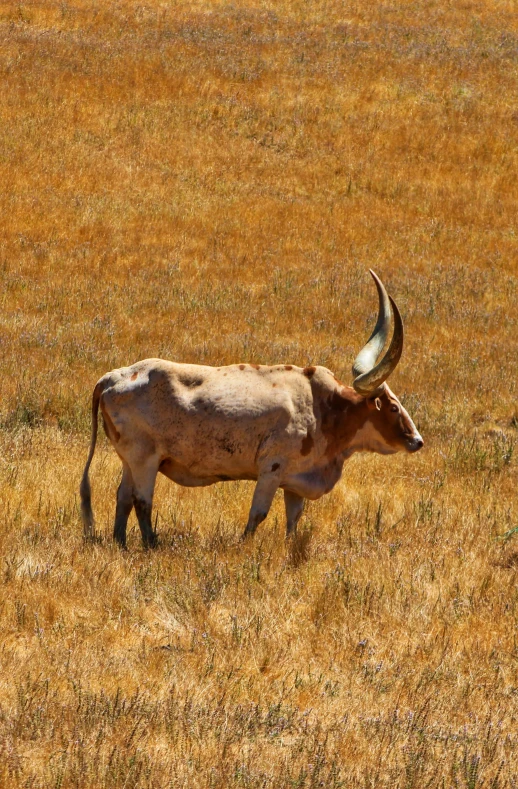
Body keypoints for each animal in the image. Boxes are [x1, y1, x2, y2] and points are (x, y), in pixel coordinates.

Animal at [80, 270, 422, 548]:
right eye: (393, 407)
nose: (417, 440)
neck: (322, 408)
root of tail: (112, 377)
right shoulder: (271, 469)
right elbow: (257, 515)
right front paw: (243, 547)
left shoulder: (296, 481)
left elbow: (293, 521)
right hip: (145, 460)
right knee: (142, 501)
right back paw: (152, 544)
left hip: (130, 461)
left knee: (123, 498)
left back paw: (121, 543)